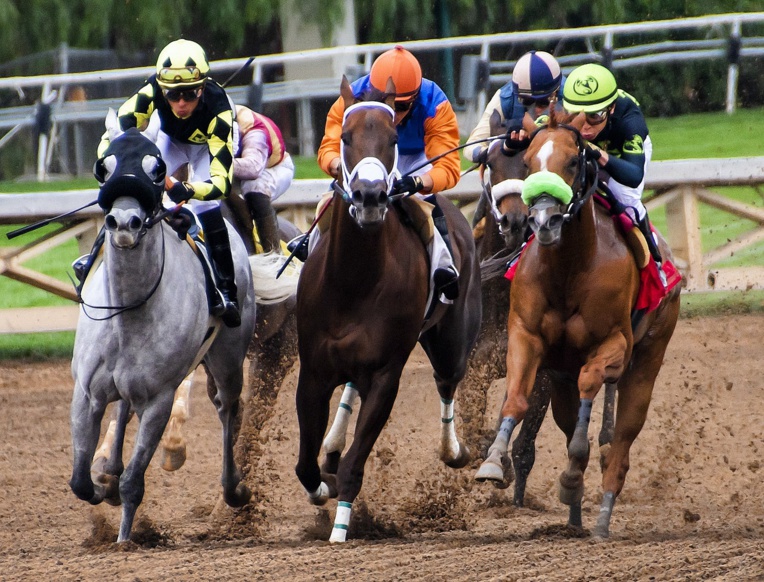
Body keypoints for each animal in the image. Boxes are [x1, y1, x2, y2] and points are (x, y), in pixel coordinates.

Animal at [69, 110, 276, 543]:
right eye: (104, 167)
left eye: (157, 169)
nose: (124, 222)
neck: (128, 311)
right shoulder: (86, 393)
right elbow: (79, 480)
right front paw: (103, 486)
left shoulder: (160, 399)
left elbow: (135, 480)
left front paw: (125, 540)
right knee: (123, 409)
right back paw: (108, 471)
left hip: (228, 357)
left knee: (228, 407)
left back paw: (234, 488)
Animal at [293, 77, 482, 543]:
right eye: (345, 137)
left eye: (394, 139)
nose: (371, 196)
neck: (354, 281)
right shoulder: (314, 371)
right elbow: (305, 466)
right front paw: (322, 484)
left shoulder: (385, 376)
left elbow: (355, 465)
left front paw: (340, 530)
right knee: (349, 392)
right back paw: (332, 446)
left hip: (451, 340)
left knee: (446, 380)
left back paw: (453, 450)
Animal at [475, 110, 681, 538]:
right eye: (529, 161)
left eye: (573, 161)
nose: (541, 220)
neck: (569, 267)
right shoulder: (526, 339)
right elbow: (515, 398)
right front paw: (491, 461)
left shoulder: (613, 345)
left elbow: (591, 392)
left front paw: (572, 473)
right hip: (561, 380)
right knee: (572, 421)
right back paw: (573, 519)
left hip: (646, 361)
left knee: (620, 444)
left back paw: (600, 517)